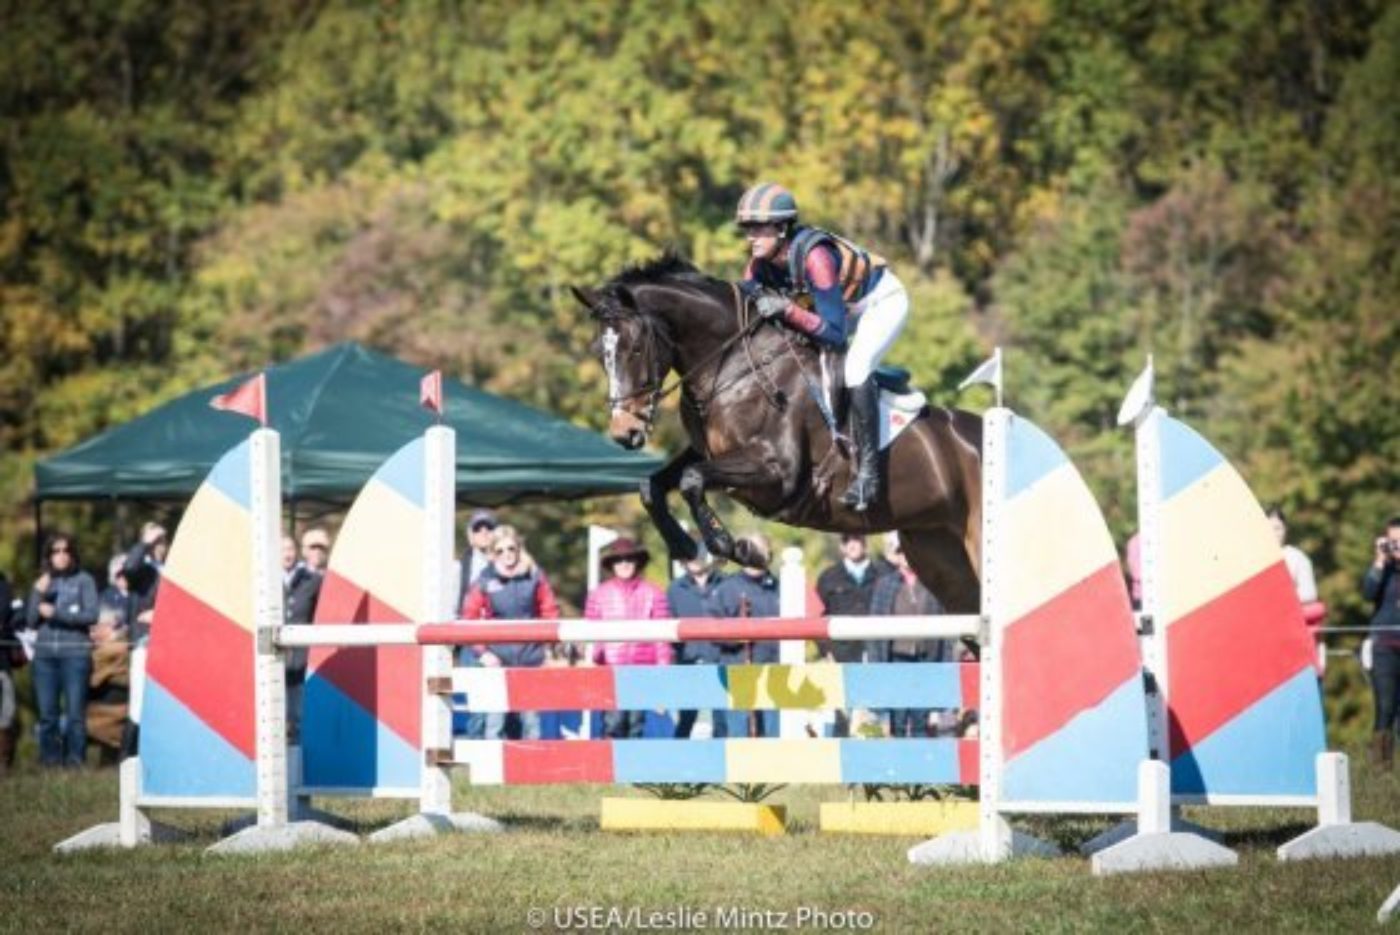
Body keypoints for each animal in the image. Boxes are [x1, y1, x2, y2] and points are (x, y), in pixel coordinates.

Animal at [568, 253, 985, 613]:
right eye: (599, 352)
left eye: (636, 349)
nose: (624, 432)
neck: (733, 366)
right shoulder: (710, 453)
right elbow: (651, 486)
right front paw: (686, 546)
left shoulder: (778, 472)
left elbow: (691, 480)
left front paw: (732, 547)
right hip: (938, 554)